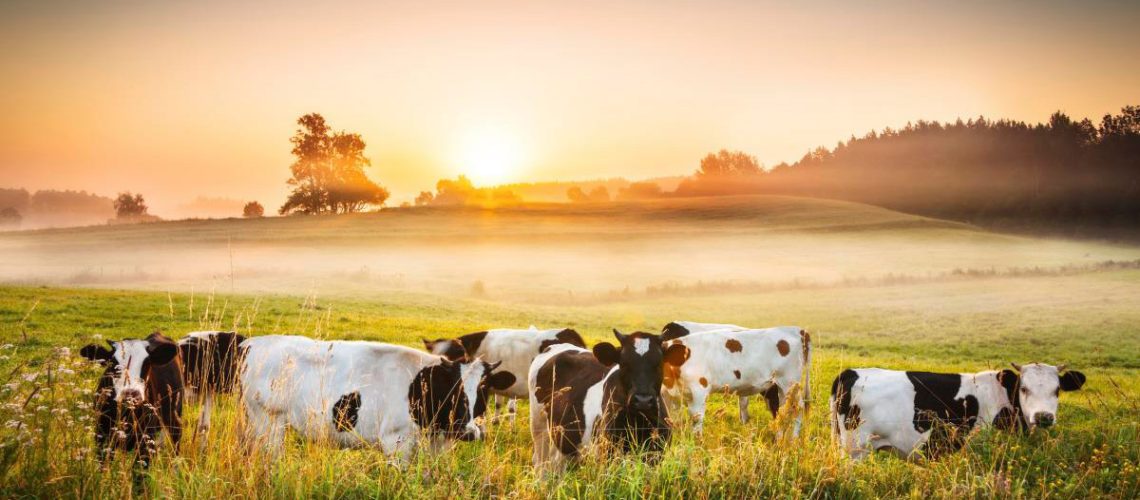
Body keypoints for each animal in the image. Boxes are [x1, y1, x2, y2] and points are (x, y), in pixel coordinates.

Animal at [79, 332, 184, 469]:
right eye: (113, 363)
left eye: (147, 363)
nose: (131, 394)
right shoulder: (102, 439)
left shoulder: (145, 442)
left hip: (175, 416)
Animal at [240, 335, 516, 461]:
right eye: (454, 387)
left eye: (484, 387)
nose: (468, 432)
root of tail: (253, 342)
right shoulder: (396, 441)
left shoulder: (438, 443)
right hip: (267, 421)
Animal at [529, 329, 690, 471]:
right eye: (624, 364)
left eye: (658, 364)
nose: (643, 400)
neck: (639, 423)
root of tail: (555, 347)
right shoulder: (607, 452)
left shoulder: (655, 454)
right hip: (539, 426)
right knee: (540, 463)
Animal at [659, 321, 812, 437]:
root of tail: (798, 330)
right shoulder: (669, 395)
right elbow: (672, 419)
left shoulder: (699, 392)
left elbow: (696, 420)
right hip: (781, 387)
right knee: (782, 411)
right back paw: (780, 439)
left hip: (789, 383)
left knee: (797, 408)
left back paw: (793, 440)